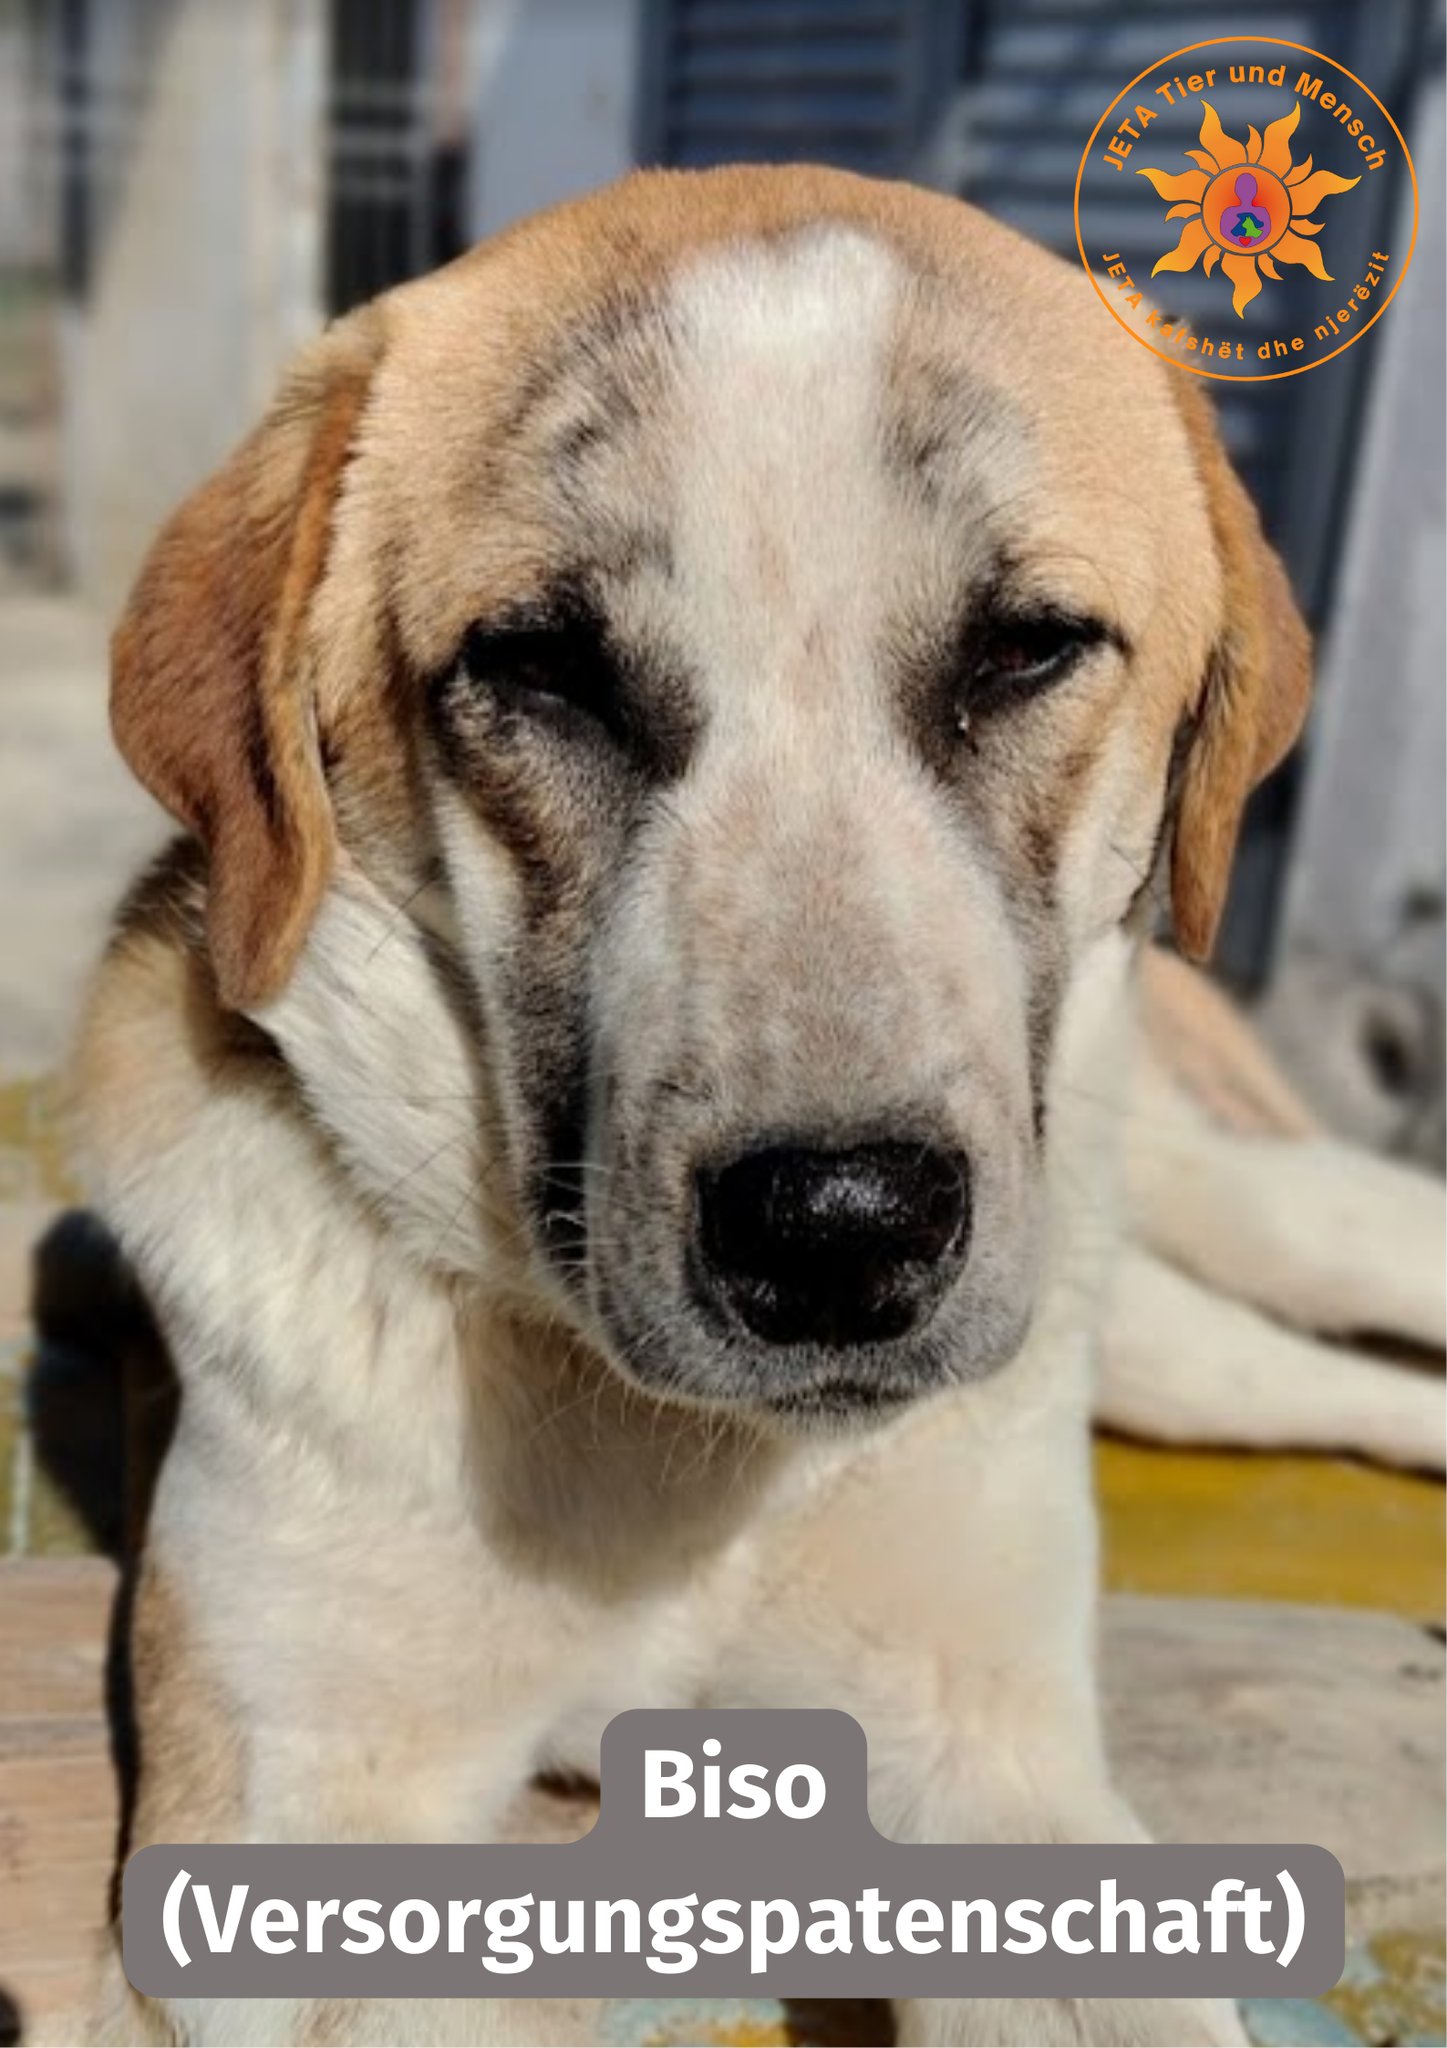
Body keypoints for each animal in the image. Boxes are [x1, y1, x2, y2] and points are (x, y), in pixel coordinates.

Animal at [75, 163, 1330, 2047]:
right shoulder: (292, 1831)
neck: (671, 1473)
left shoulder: (995, 1754)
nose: (836, 1233)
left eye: (1025, 650)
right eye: (538, 666)